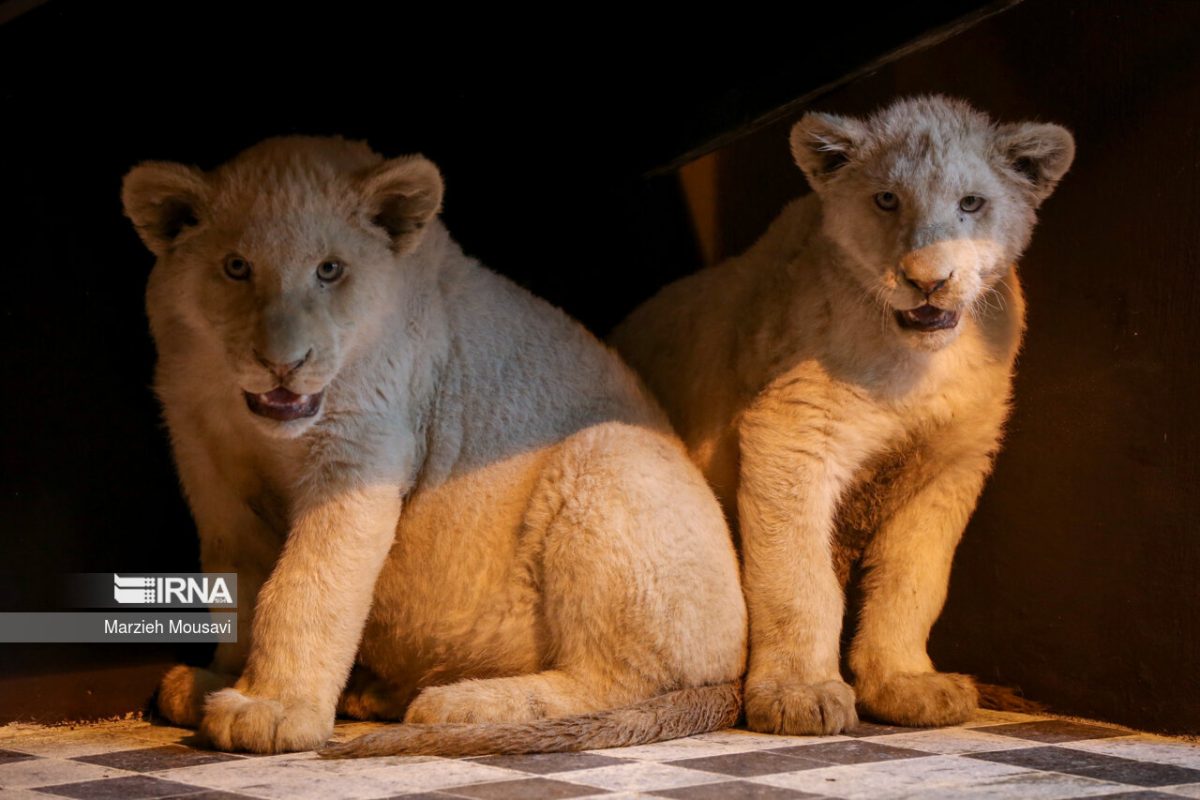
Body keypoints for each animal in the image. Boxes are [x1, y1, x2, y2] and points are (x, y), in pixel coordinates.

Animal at [121, 136, 747, 756]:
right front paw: (222, 681)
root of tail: (737, 669)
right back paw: (368, 692)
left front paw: (269, 711)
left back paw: (459, 703)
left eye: (329, 269)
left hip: (611, 456)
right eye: (236, 267)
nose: (283, 364)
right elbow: (239, 580)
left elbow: (307, 582)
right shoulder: (206, 462)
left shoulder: (362, 447)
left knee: (617, 678)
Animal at [610, 96, 1074, 734]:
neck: (916, 364)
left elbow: (914, 580)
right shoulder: (790, 434)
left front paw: (906, 685)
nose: (928, 280)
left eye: (971, 203)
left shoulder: (950, 463)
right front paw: (799, 695)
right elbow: (798, 579)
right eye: (886, 200)